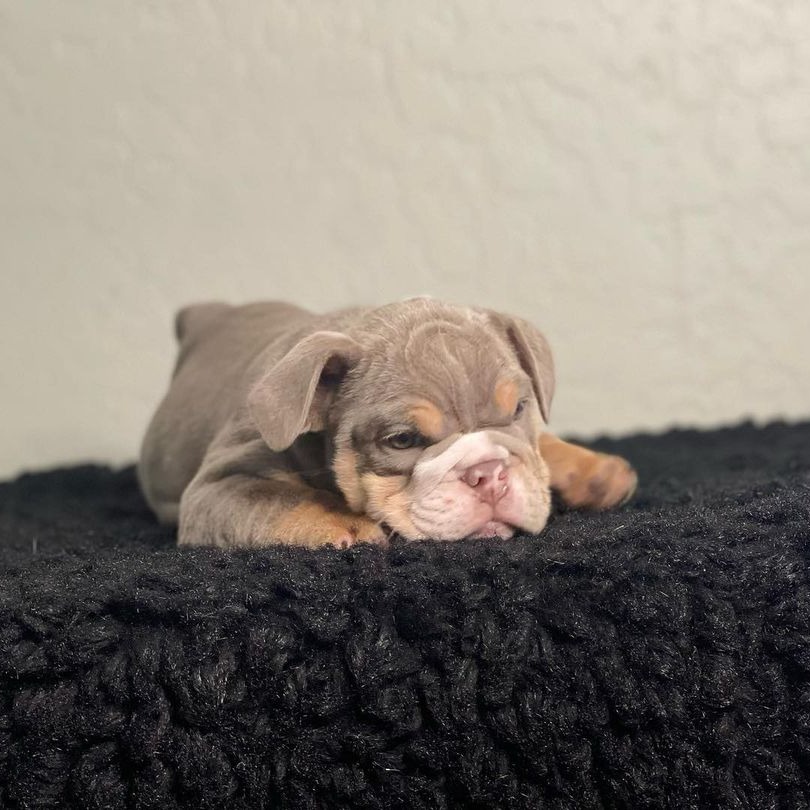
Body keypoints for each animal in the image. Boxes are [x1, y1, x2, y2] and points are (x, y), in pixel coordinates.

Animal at [137, 298, 636, 548]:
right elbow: (277, 497)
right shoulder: (217, 488)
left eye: (518, 410)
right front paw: (342, 523)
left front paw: (590, 469)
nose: (489, 474)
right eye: (403, 440)